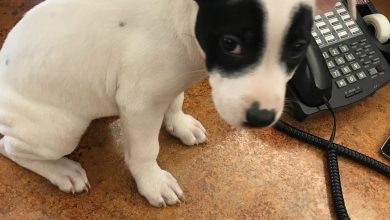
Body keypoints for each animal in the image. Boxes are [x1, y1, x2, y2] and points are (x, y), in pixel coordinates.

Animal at [0, 0, 354, 207]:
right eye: (230, 43)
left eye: (298, 47)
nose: (261, 117)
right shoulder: (140, 102)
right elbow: (145, 150)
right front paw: (152, 182)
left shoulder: (171, 82)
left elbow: (176, 99)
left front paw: (179, 123)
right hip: (61, 130)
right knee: (11, 147)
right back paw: (62, 171)